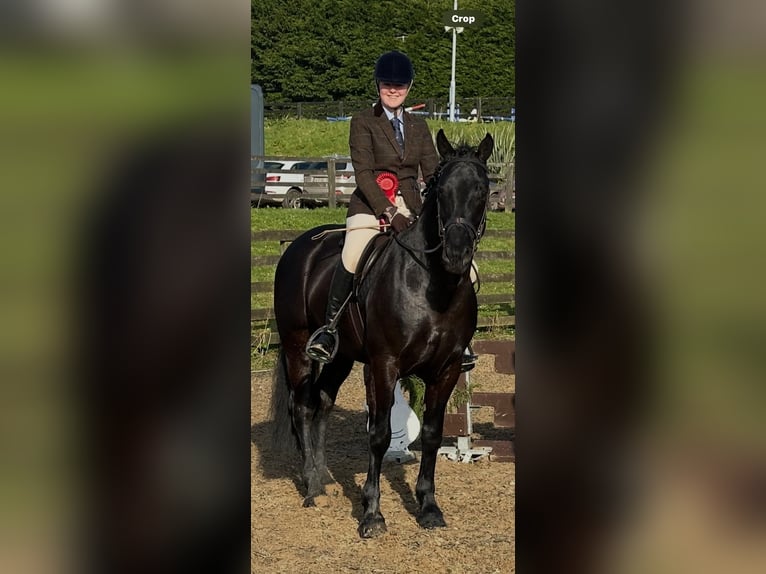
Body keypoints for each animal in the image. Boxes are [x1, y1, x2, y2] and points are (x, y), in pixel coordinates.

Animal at [270, 129, 494, 538]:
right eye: (441, 191)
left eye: (482, 191)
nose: (456, 254)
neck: (433, 286)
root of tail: (298, 246)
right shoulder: (384, 365)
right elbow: (379, 435)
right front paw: (372, 514)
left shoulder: (448, 369)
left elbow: (433, 434)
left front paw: (428, 507)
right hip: (296, 346)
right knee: (303, 406)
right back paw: (312, 487)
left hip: (341, 356)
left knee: (323, 402)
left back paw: (325, 478)